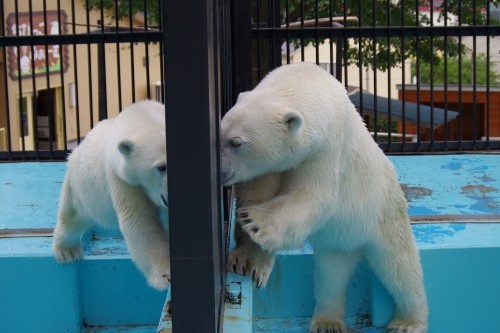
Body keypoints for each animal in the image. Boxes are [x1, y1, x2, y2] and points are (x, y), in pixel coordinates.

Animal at [52, 100, 170, 290]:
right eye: (161, 167)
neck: (142, 115)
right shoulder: (123, 179)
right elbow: (140, 220)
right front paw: (165, 275)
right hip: (80, 186)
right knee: (72, 215)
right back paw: (67, 251)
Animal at [223, 62, 430, 332]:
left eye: (236, 142)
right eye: (220, 133)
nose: (219, 169)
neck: (307, 81)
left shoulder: (326, 150)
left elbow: (313, 197)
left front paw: (255, 221)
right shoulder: (270, 166)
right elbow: (256, 193)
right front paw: (246, 260)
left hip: (384, 212)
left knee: (400, 267)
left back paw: (407, 322)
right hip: (337, 241)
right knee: (330, 276)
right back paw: (327, 323)